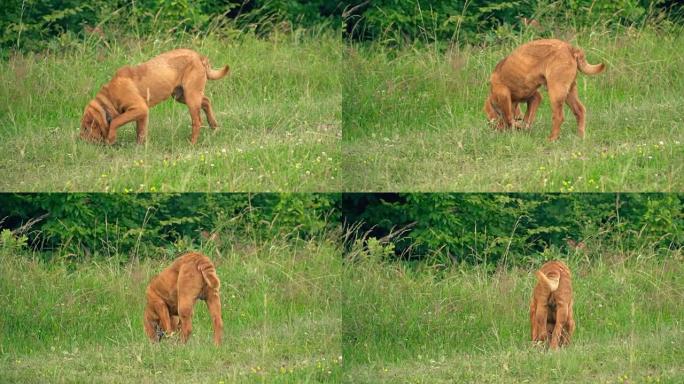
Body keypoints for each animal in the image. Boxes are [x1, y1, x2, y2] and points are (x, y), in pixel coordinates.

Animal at [80, 48, 230, 144]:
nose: (80, 139)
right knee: (206, 101)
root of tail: (199, 56)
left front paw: (111, 138)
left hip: (191, 97)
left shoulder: (139, 108)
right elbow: (140, 131)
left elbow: (116, 121)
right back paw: (214, 127)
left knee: (197, 121)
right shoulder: (141, 114)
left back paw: (192, 143)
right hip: (182, 95)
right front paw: (140, 147)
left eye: (86, 127)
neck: (109, 97)